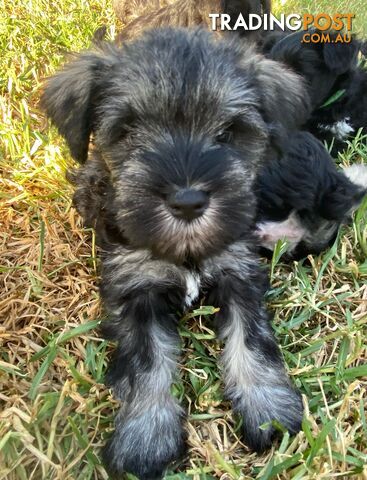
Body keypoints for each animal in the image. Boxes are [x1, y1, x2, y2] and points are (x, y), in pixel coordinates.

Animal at [43, 28, 312, 478]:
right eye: (129, 130)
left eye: (228, 132)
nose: (187, 202)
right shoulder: (135, 292)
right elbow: (148, 362)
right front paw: (146, 439)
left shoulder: (239, 272)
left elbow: (252, 340)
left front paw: (267, 409)